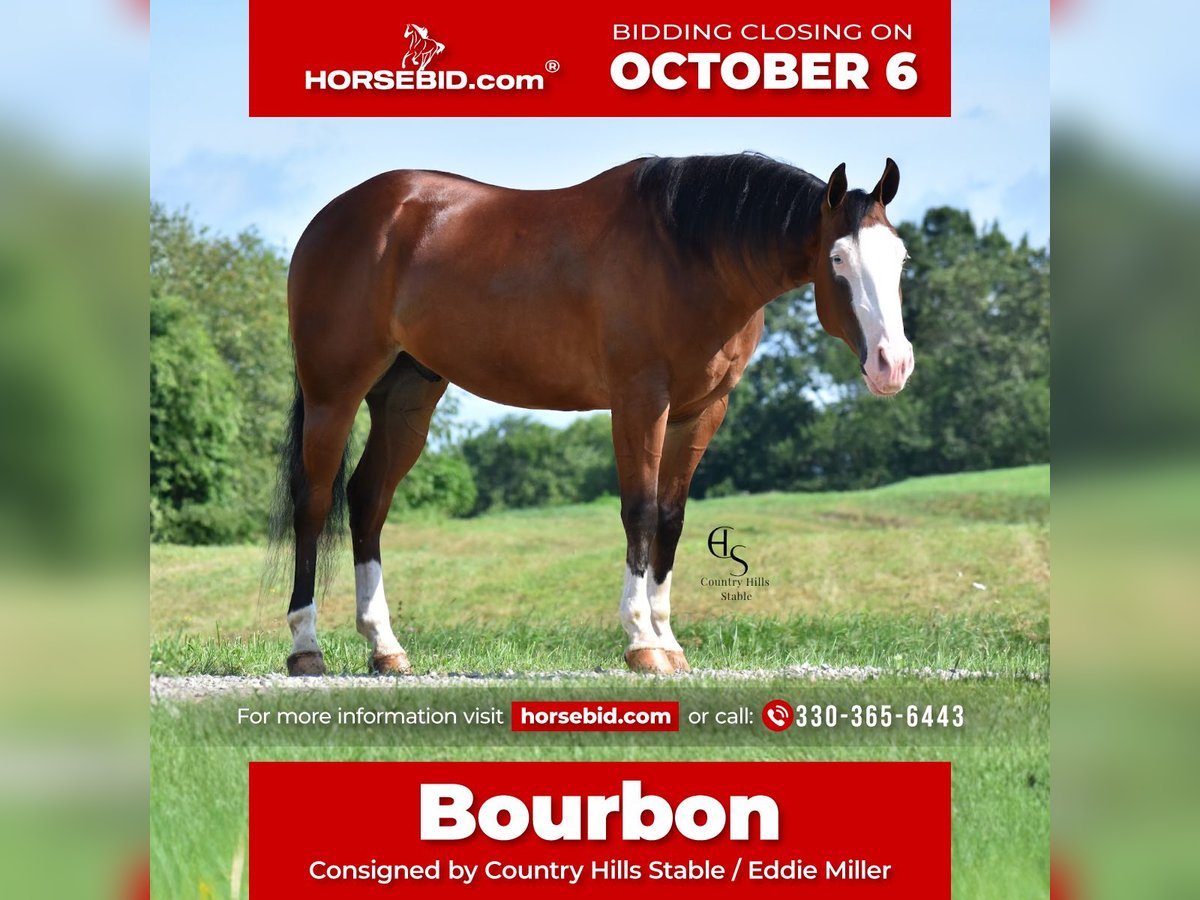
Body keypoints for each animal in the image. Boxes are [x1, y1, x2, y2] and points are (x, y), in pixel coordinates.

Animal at [276, 153, 914, 677]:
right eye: (837, 258)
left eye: (901, 257)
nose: (893, 363)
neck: (687, 252)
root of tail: (335, 216)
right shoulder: (639, 402)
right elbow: (640, 512)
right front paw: (641, 643)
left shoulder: (701, 412)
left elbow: (671, 520)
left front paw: (669, 641)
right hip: (333, 393)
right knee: (314, 503)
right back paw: (307, 648)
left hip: (407, 396)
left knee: (367, 501)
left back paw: (385, 649)